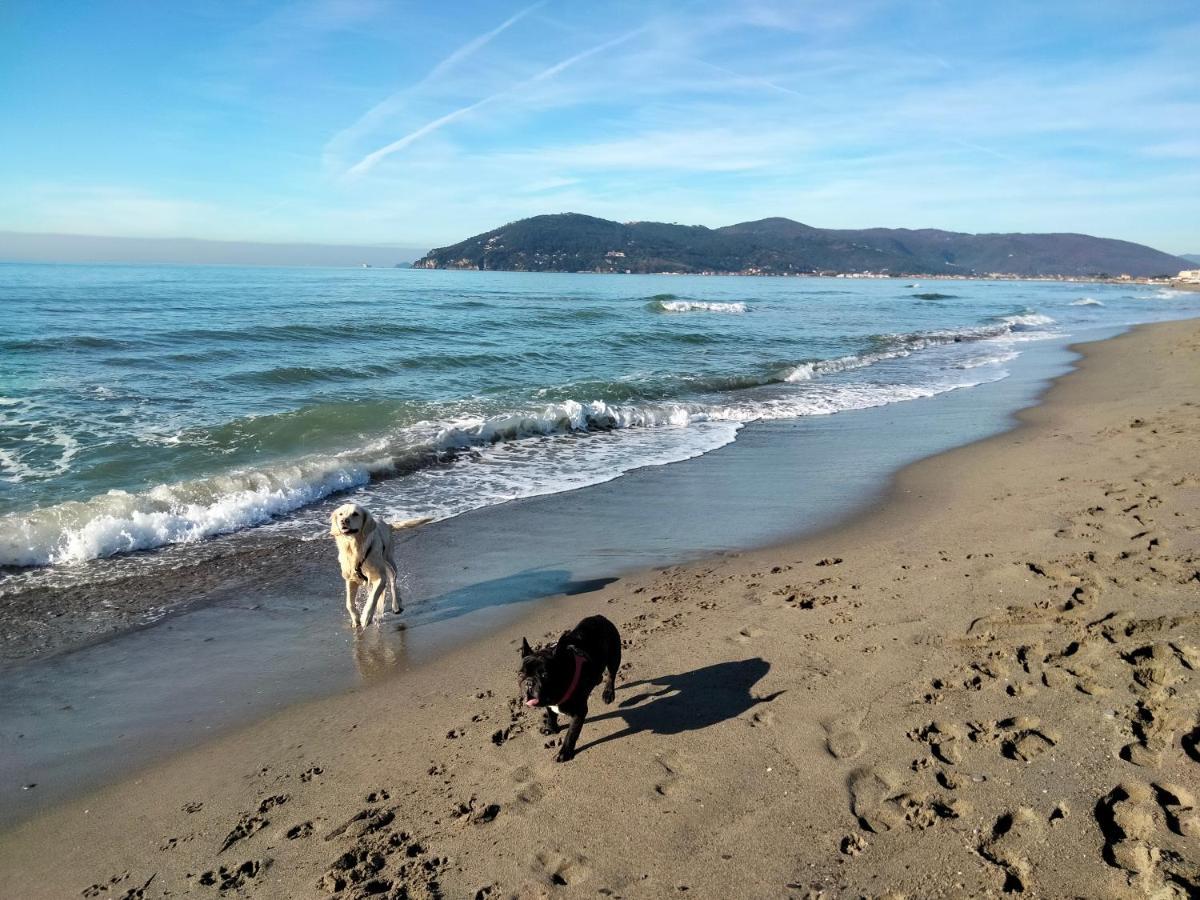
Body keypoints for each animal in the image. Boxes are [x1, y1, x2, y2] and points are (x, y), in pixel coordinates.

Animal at [518, 619, 624, 763]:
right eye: (521, 674)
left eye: (545, 675)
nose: (529, 682)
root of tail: (601, 618)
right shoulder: (549, 704)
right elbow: (551, 715)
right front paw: (550, 728)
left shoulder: (579, 712)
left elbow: (571, 733)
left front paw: (564, 752)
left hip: (614, 656)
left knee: (611, 675)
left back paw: (608, 694)